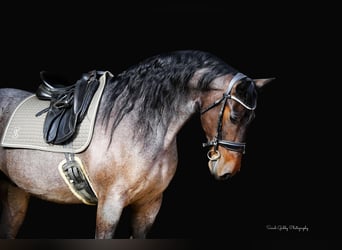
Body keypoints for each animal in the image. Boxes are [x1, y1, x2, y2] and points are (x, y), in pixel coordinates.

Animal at [0, 49, 272, 238]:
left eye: (252, 119)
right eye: (234, 116)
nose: (228, 170)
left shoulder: (148, 206)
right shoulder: (109, 206)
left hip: (16, 193)